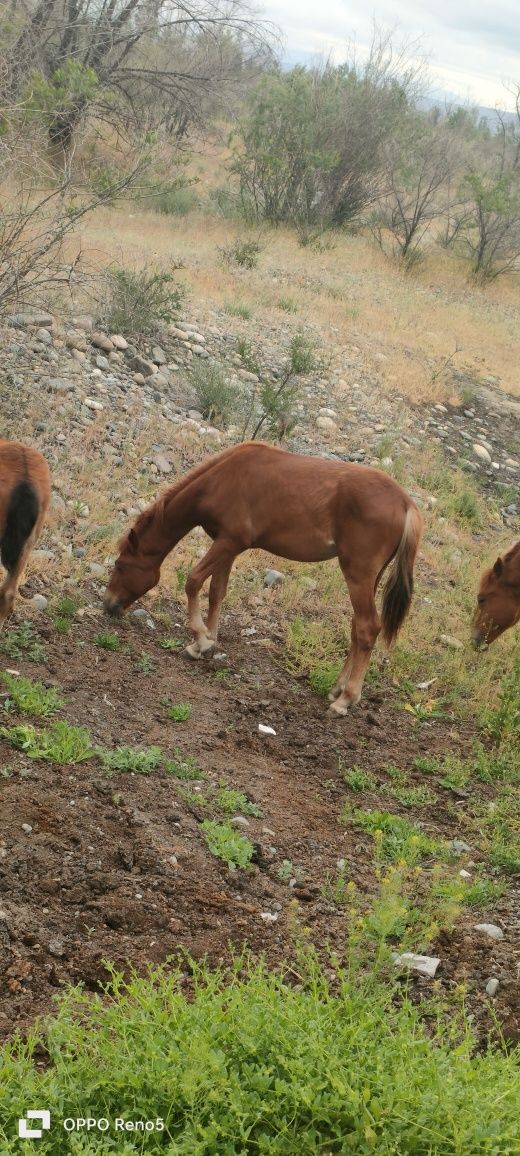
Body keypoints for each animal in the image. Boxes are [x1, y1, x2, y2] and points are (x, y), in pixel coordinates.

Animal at [102, 441, 422, 712]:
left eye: (120, 565)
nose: (108, 605)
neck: (220, 481)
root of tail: (406, 503)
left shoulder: (229, 541)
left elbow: (193, 581)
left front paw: (200, 640)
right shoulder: (227, 546)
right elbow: (217, 591)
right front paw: (208, 640)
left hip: (357, 573)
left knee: (368, 627)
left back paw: (346, 699)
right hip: (370, 577)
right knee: (357, 627)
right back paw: (337, 688)